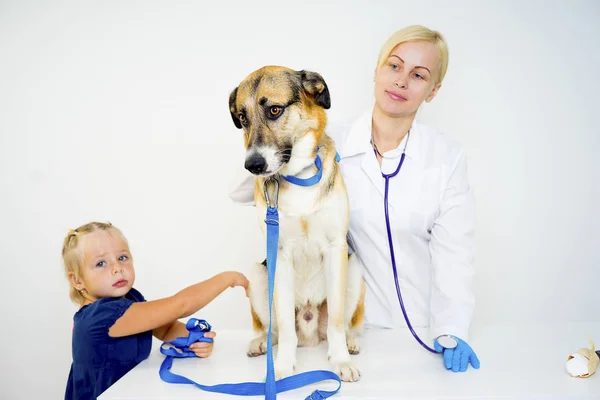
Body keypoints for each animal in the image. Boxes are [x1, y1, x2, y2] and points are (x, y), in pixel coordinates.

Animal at [227, 65, 364, 382]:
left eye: (275, 110)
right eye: (242, 118)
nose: (252, 165)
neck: (299, 176)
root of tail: (311, 333)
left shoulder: (336, 248)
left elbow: (337, 322)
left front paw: (340, 361)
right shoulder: (280, 255)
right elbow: (286, 329)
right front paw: (283, 368)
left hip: (354, 269)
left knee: (342, 325)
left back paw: (350, 342)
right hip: (257, 275)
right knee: (274, 330)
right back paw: (260, 344)